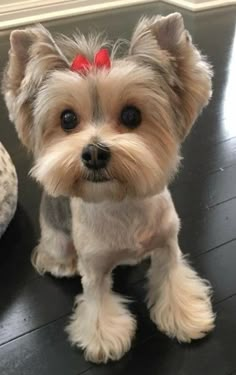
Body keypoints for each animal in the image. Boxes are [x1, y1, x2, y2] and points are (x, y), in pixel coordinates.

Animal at [2, 13, 216, 366]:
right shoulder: (94, 266)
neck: (120, 200)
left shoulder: (167, 244)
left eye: (131, 115)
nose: (94, 153)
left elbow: (172, 278)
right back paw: (60, 263)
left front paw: (185, 316)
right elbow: (98, 300)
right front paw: (104, 339)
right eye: (67, 119)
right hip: (57, 238)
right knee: (53, 254)